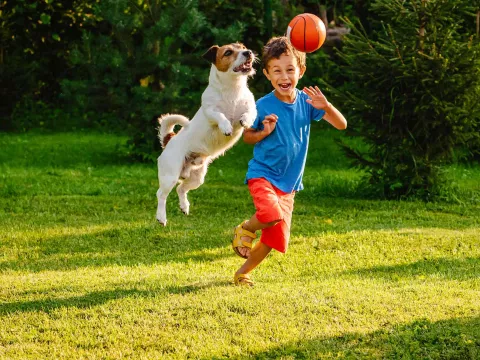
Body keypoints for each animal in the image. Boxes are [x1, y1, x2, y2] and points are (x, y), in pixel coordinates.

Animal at [157, 43, 256, 225]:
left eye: (242, 47)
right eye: (228, 52)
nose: (248, 52)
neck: (232, 89)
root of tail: (169, 140)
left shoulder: (251, 107)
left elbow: (249, 113)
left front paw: (245, 121)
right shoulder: (210, 111)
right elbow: (220, 116)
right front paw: (226, 126)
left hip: (197, 178)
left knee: (181, 188)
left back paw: (184, 206)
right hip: (170, 175)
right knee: (161, 194)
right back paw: (161, 217)